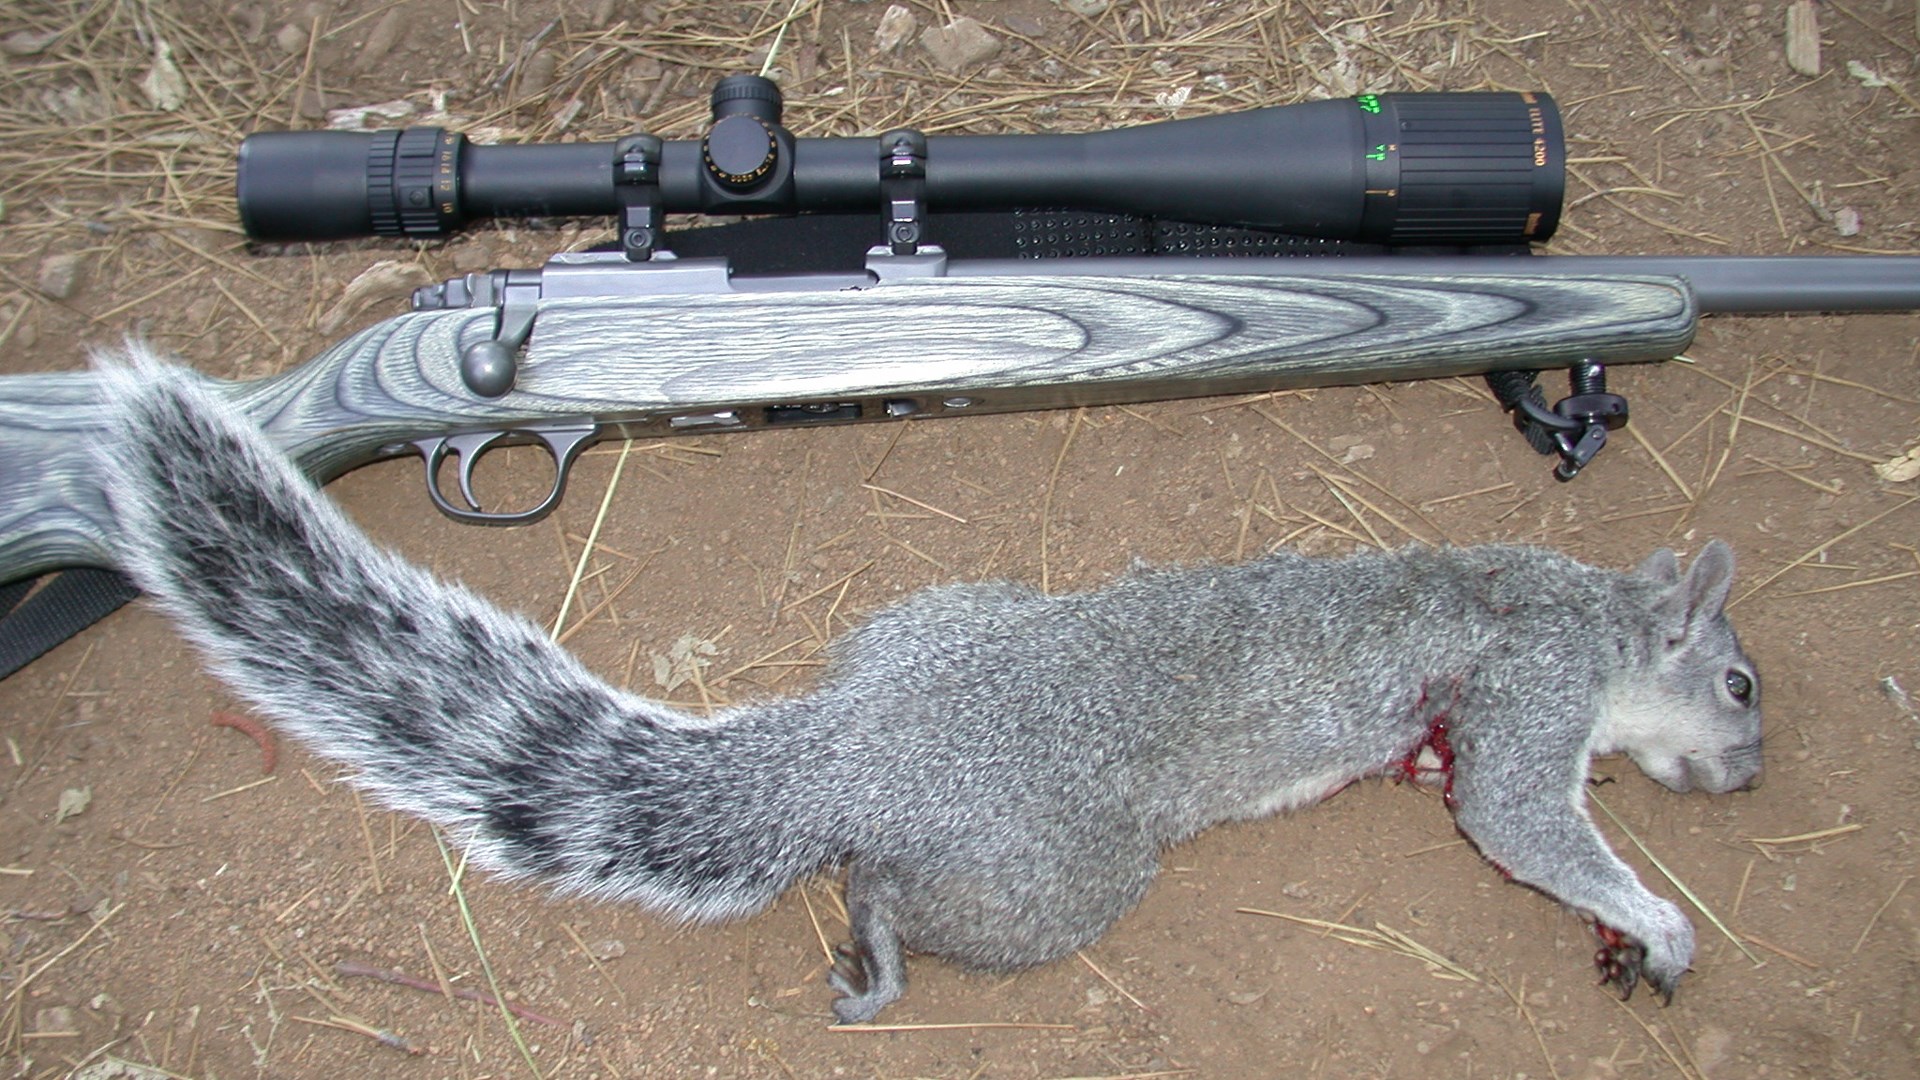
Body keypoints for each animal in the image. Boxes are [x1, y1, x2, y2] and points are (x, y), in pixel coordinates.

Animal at [92, 347, 1763, 1023]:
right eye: (1743, 686)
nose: (1753, 776)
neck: (1592, 610)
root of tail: (856, 741)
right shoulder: (1533, 691)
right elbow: (1523, 822)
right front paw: (1664, 925)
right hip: (1057, 879)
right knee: (894, 889)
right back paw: (882, 957)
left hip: (932, 626)